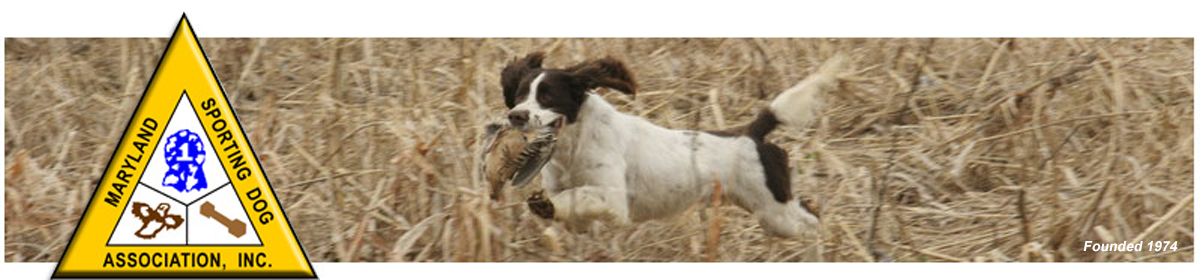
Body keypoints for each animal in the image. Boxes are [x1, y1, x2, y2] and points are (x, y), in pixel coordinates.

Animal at [496, 53, 844, 237]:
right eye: (519, 95)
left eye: (547, 96)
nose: (516, 115)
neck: (575, 143)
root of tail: (751, 133)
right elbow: (567, 207)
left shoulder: (614, 199)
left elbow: (578, 195)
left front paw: (544, 205)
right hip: (770, 211)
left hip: (775, 211)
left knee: (812, 220)